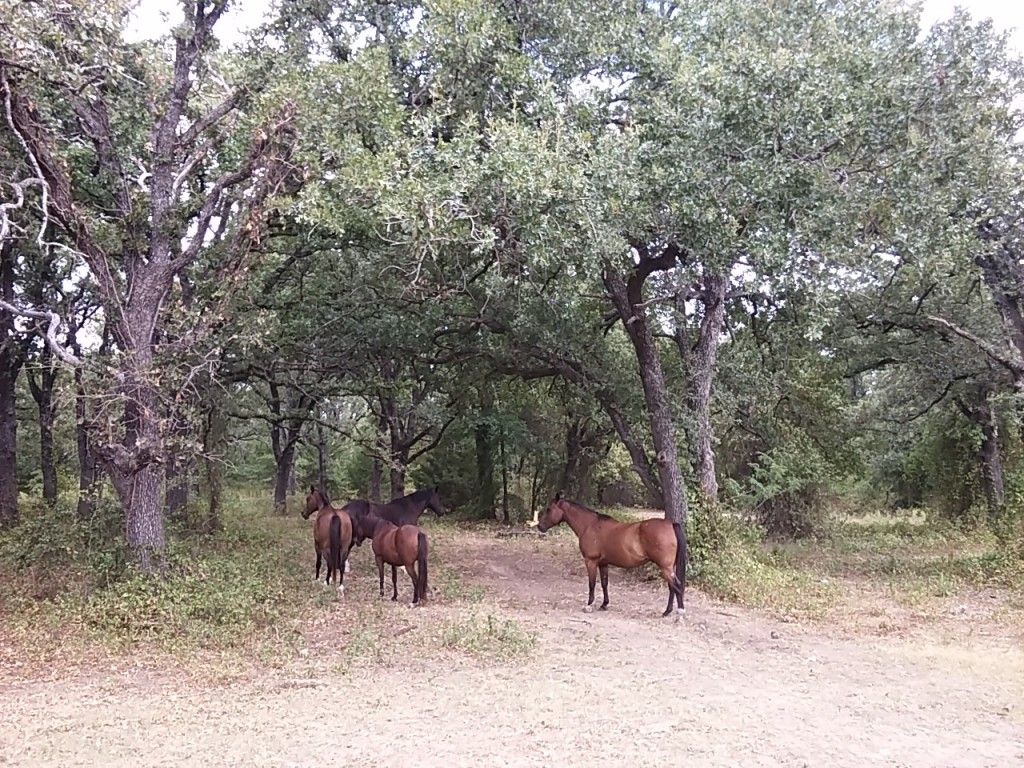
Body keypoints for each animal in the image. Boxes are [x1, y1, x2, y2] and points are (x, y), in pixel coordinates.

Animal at [536, 495, 688, 618]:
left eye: (549, 509)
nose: (539, 527)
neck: (590, 525)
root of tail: (670, 524)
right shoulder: (603, 563)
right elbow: (604, 583)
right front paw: (604, 604)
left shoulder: (591, 561)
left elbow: (592, 583)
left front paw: (589, 605)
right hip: (669, 567)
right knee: (672, 587)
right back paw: (667, 611)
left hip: (665, 567)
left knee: (676, 585)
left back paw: (680, 612)